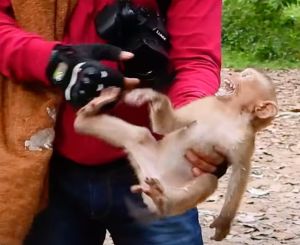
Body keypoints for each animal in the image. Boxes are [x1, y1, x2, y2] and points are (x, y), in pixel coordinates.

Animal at [74, 68, 278, 240]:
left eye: (246, 76)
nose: (234, 73)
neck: (229, 113)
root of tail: (150, 176)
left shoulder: (245, 139)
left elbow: (240, 171)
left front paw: (224, 222)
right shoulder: (203, 105)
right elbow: (166, 126)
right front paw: (152, 97)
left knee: (208, 180)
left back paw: (164, 202)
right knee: (140, 135)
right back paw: (86, 115)